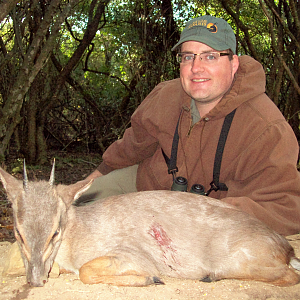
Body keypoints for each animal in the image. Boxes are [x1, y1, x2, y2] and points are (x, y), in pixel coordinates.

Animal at [0, 163, 298, 288]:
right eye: (18, 232)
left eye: (55, 232)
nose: (36, 280)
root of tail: (286, 249)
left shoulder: (133, 253)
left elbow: (85, 271)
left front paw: (149, 279)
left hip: (241, 258)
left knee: (290, 276)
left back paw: (210, 276)